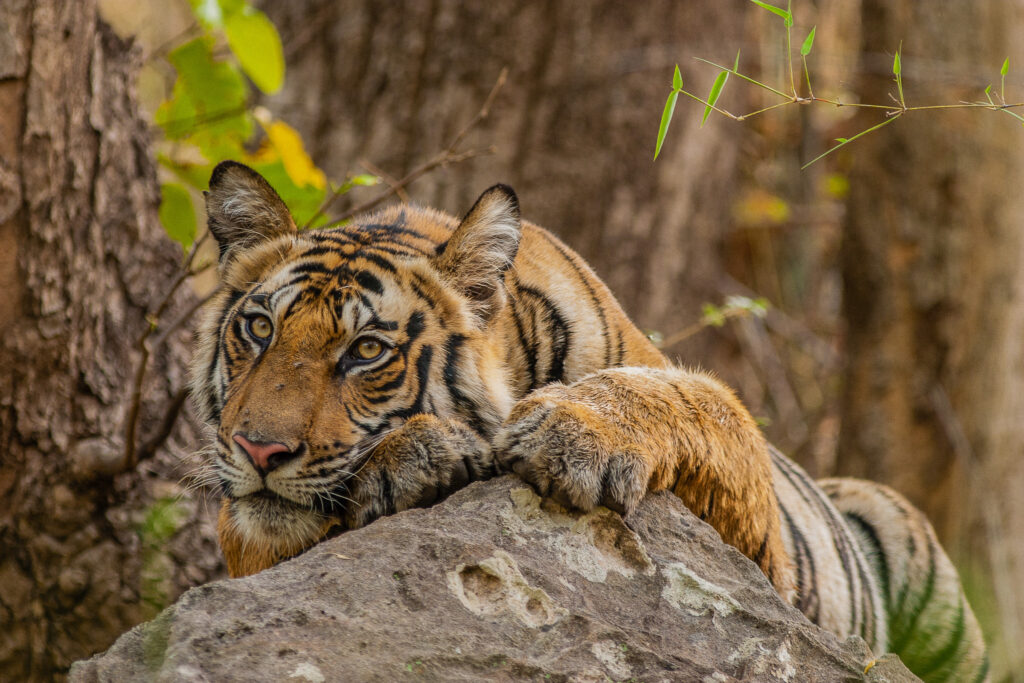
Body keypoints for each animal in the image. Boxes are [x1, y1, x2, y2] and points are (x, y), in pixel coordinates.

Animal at [190, 161, 988, 682]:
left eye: (366, 350)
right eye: (259, 329)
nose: (259, 449)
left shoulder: (767, 560)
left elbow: (679, 396)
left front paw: (571, 434)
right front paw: (419, 456)